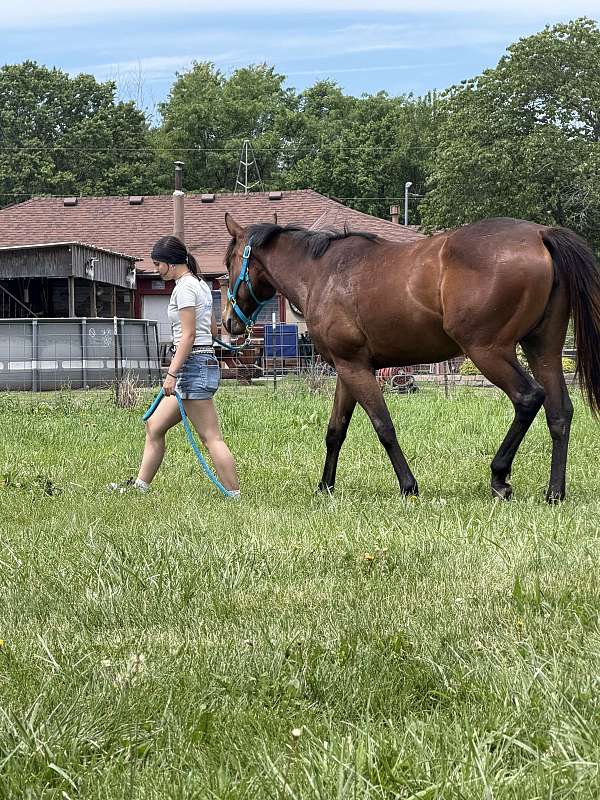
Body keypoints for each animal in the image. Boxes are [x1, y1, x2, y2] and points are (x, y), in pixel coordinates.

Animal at [223, 213, 600, 502]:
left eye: (228, 264)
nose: (228, 323)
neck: (322, 274)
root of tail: (539, 234)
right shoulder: (347, 370)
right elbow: (335, 431)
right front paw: (325, 487)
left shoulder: (355, 368)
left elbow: (383, 426)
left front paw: (408, 486)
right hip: (542, 349)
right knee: (559, 412)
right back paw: (554, 493)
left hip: (488, 351)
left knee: (529, 397)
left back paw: (499, 477)